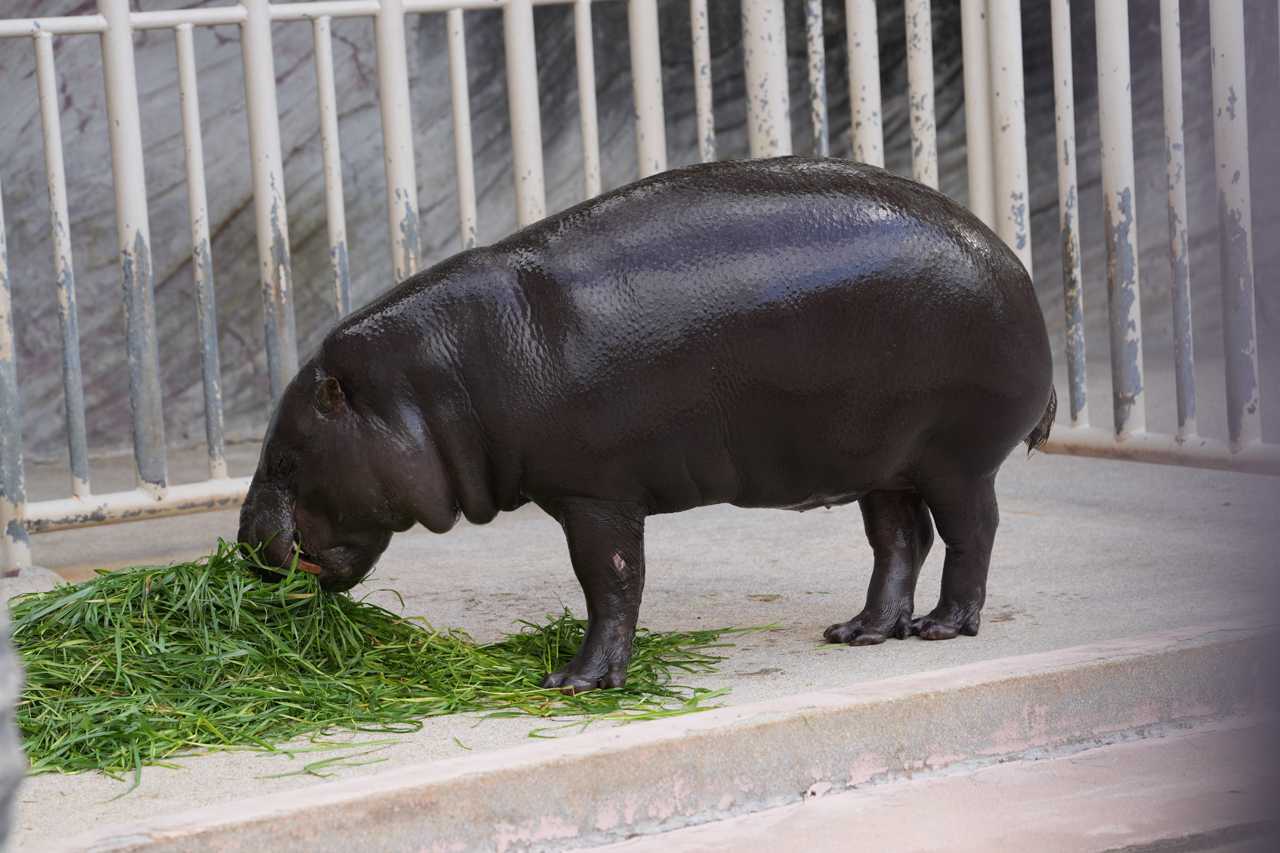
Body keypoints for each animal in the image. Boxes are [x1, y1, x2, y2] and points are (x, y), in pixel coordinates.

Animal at [238, 156, 1055, 693]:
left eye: (285, 456)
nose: (243, 544)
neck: (437, 376)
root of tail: (1016, 267)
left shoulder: (595, 493)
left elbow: (611, 580)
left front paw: (575, 682)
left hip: (957, 459)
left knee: (972, 533)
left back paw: (944, 626)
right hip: (882, 461)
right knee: (899, 541)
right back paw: (858, 632)